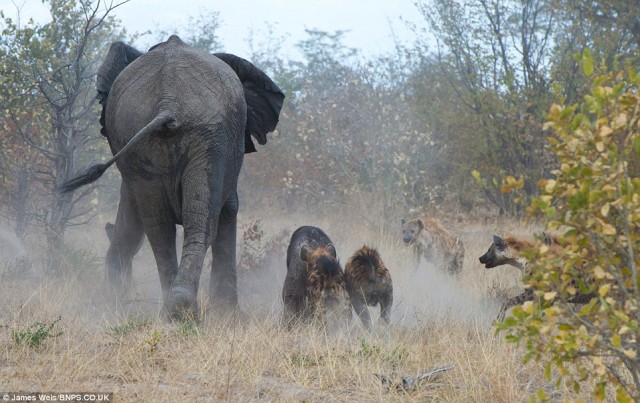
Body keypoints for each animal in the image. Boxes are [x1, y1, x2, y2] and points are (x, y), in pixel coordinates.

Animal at [60, 34, 284, 320]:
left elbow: (133, 221)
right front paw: (228, 315)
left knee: (159, 226)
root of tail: (168, 101)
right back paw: (185, 310)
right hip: (211, 138)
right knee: (201, 221)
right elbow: (229, 209)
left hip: (139, 132)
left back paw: (174, 310)